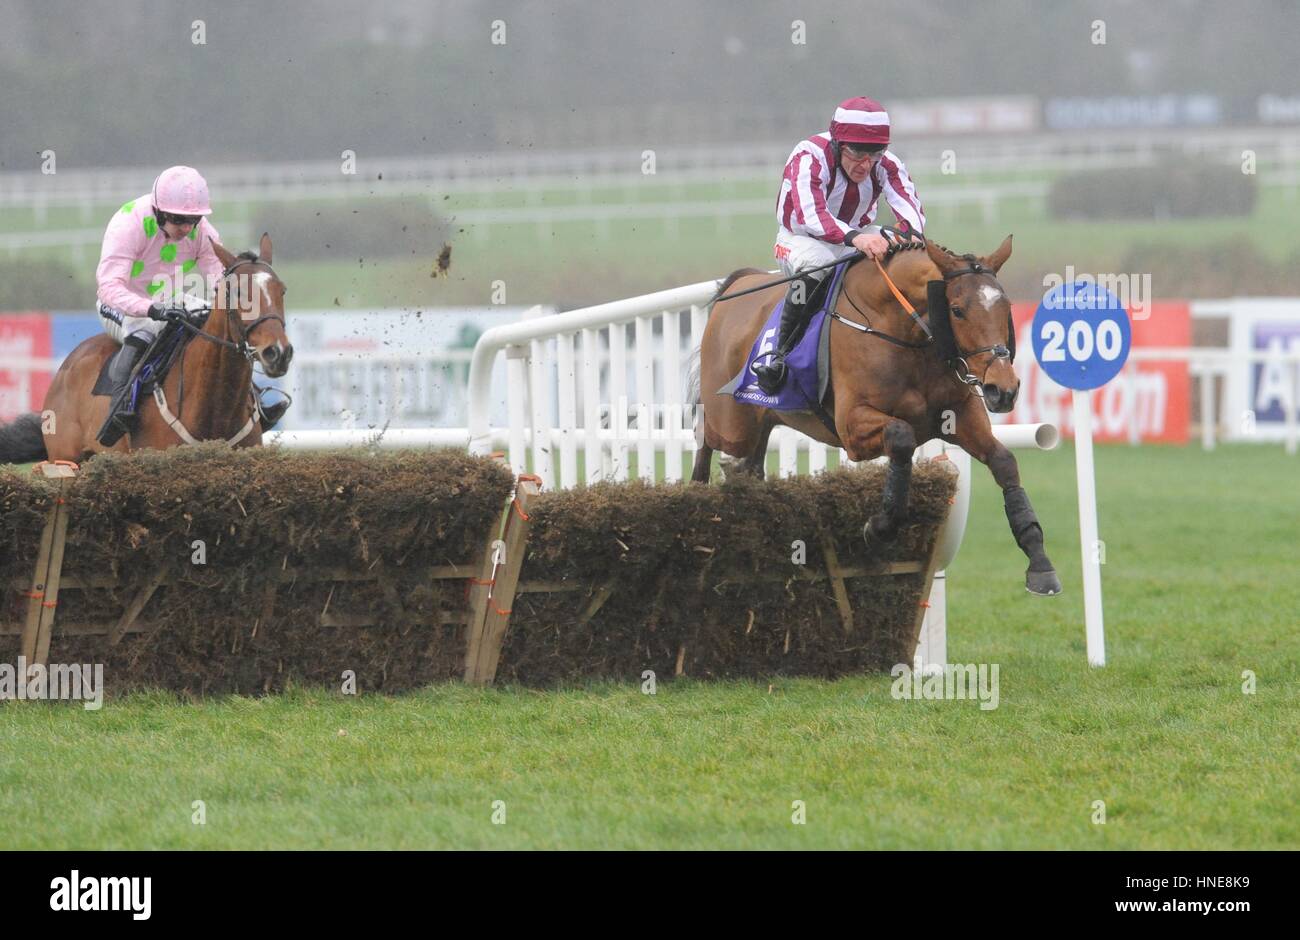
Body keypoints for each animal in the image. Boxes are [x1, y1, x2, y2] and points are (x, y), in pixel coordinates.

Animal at [0, 234, 292, 465]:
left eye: (282, 290)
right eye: (239, 292)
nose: (277, 353)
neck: (215, 404)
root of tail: (66, 367)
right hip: (65, 459)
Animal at [696, 235, 1060, 595]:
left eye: (1005, 307)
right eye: (957, 310)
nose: (1004, 389)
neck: (903, 333)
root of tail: (740, 282)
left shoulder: (959, 414)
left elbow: (1004, 462)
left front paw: (1040, 563)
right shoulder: (852, 428)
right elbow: (902, 437)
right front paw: (880, 527)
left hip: (763, 423)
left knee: (748, 469)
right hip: (730, 426)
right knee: (705, 445)